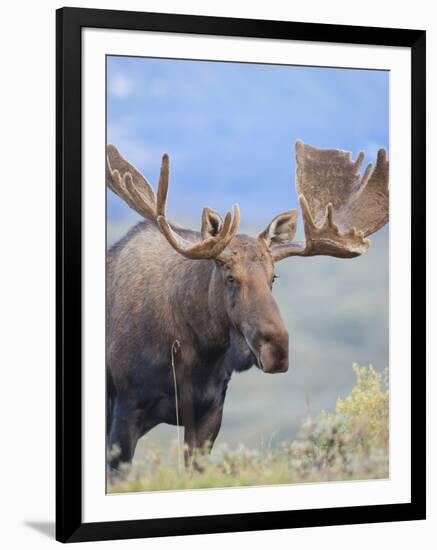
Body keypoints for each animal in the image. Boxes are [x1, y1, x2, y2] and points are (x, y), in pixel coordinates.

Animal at [106, 141, 388, 470]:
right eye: (230, 276)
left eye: (273, 277)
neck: (195, 354)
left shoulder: (208, 413)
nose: (277, 350)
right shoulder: (126, 407)